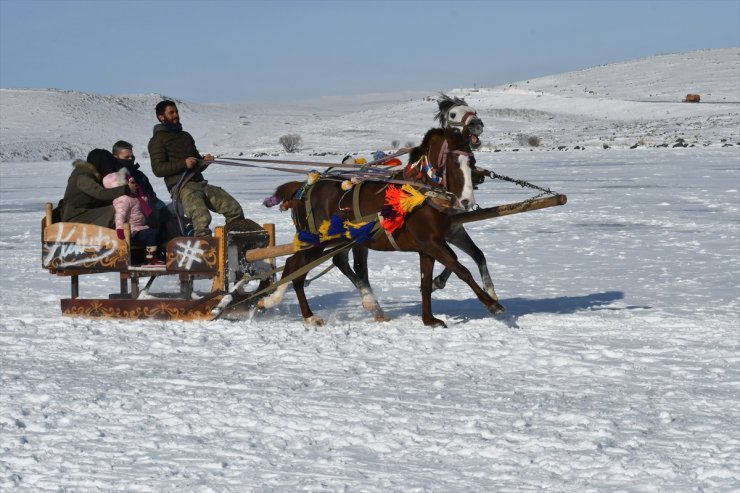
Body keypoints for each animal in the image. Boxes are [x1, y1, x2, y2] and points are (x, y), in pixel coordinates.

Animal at [258, 118, 502, 326]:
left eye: (472, 161)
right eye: (453, 161)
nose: (467, 201)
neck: (423, 194)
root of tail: (304, 187)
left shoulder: (430, 246)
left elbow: (427, 282)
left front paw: (429, 320)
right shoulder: (432, 243)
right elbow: (461, 269)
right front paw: (491, 303)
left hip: (340, 241)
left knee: (328, 264)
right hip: (315, 241)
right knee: (294, 267)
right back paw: (294, 310)